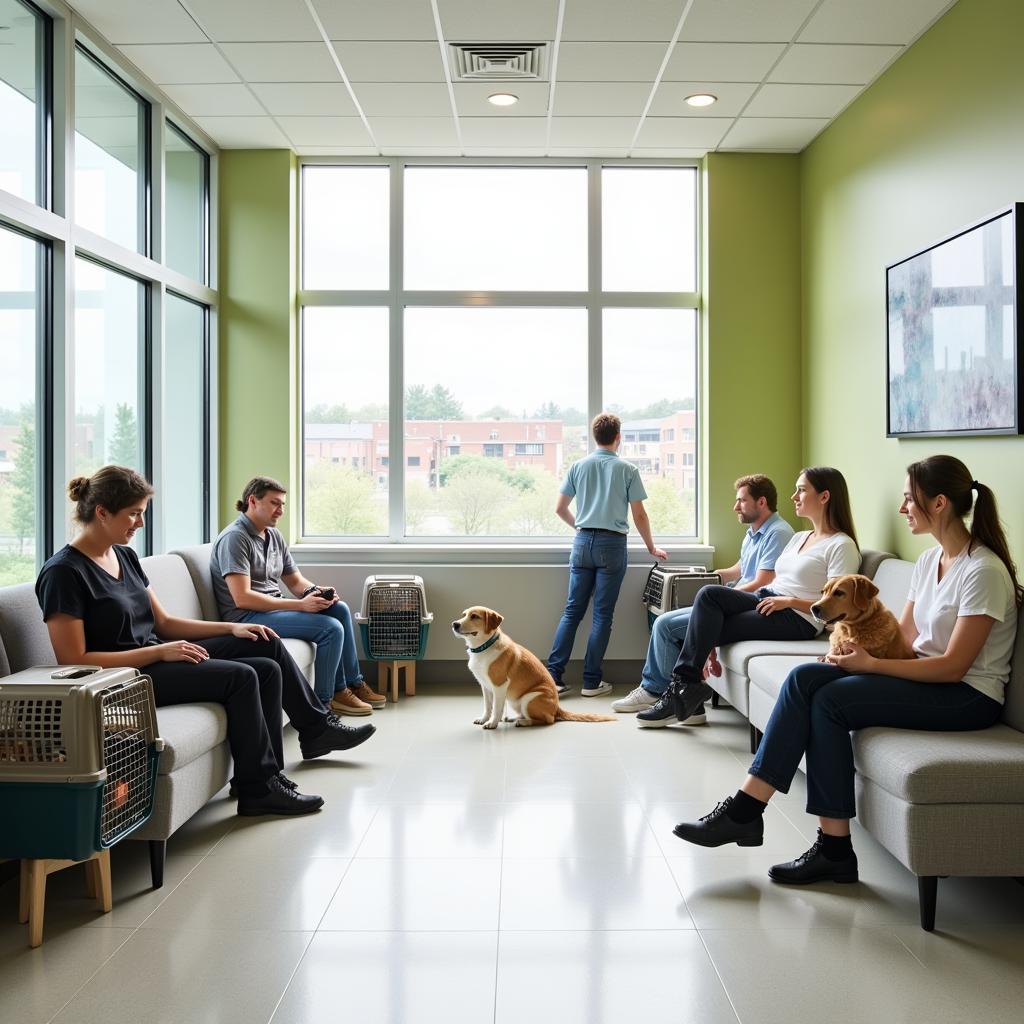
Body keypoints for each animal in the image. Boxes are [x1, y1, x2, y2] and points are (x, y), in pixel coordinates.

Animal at [452, 606, 610, 729]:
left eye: (474, 616)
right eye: (463, 615)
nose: (454, 624)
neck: (484, 647)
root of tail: (558, 709)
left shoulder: (499, 686)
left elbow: (496, 707)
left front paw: (492, 723)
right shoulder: (485, 686)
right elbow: (488, 706)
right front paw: (484, 719)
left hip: (528, 698)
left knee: (548, 720)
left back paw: (523, 722)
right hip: (515, 701)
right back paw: (514, 718)